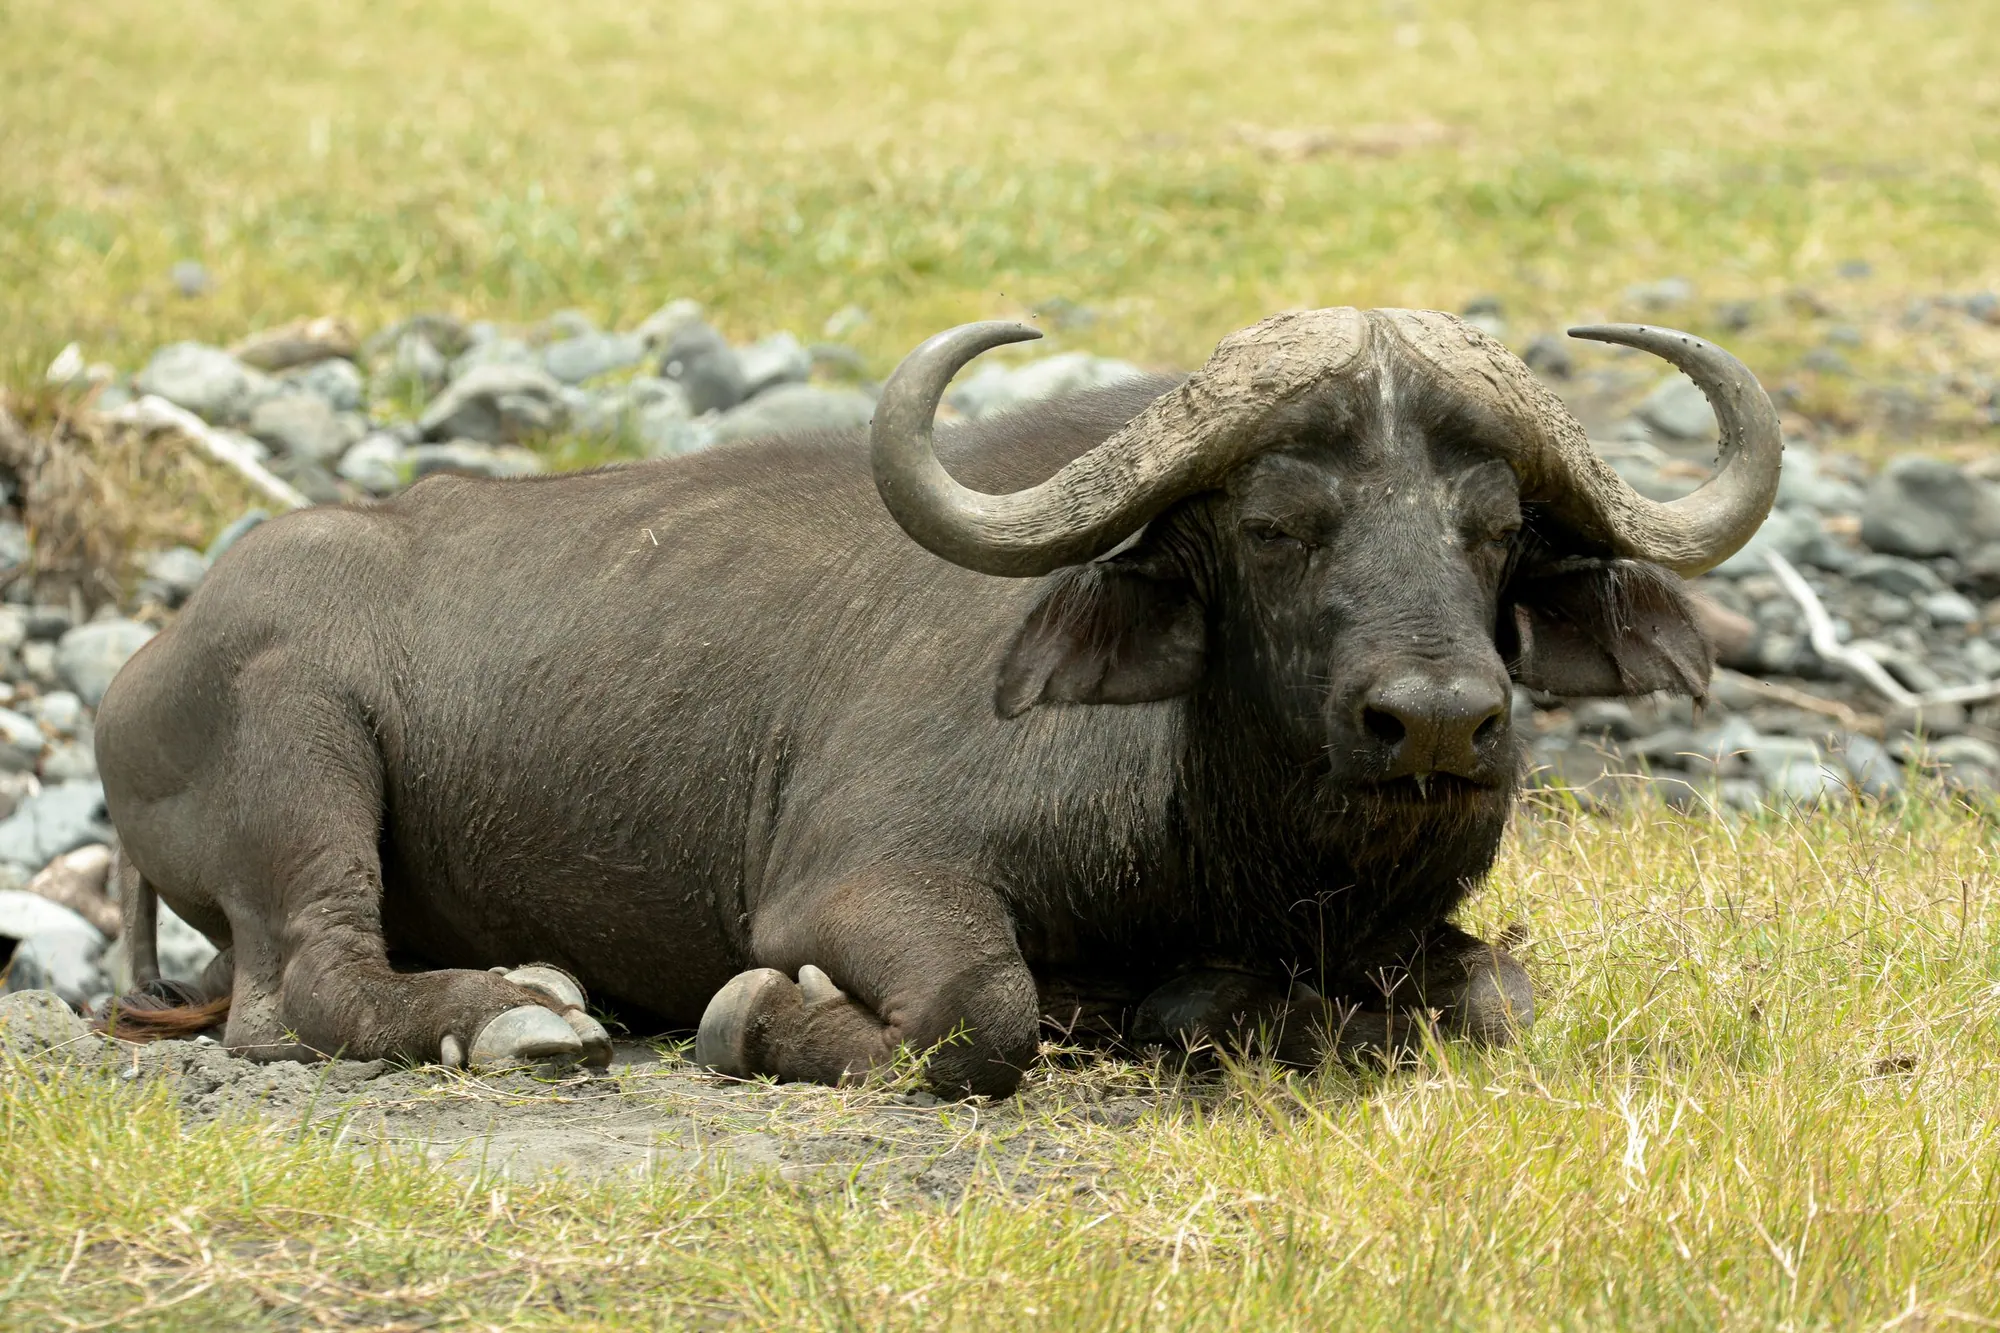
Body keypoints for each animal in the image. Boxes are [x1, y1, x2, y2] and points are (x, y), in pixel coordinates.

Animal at [95, 309, 1779, 1097]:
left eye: (1493, 527)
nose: (1437, 719)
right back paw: (524, 1011)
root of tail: (148, 668)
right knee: (300, 990)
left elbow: (1502, 997)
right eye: (1274, 524)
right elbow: (982, 1010)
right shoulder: (855, 882)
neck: (1217, 841)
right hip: (303, 761)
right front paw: (752, 1019)